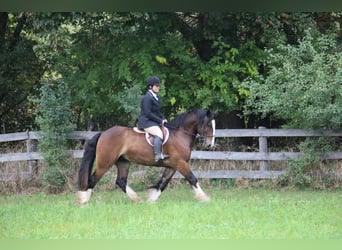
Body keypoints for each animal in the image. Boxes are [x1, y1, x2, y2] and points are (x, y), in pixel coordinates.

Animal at [76, 108, 215, 204]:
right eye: (209, 124)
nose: (210, 145)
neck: (180, 134)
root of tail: (104, 133)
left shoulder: (172, 165)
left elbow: (163, 183)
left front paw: (151, 200)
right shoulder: (180, 163)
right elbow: (192, 178)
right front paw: (205, 198)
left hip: (123, 162)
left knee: (121, 181)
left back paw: (137, 200)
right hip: (105, 163)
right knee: (92, 180)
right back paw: (83, 202)